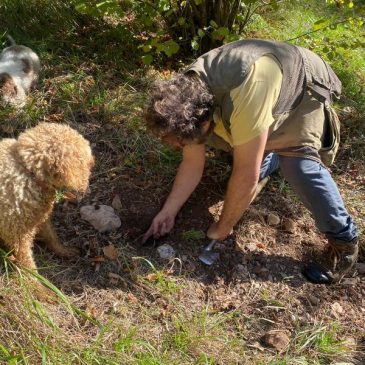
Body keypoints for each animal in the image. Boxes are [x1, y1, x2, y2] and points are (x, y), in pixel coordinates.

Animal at [0, 122, 95, 270]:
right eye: (86, 160)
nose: (94, 161)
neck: (28, 173)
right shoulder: (17, 234)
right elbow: (27, 262)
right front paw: (35, 277)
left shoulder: (39, 218)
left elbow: (51, 237)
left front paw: (64, 251)